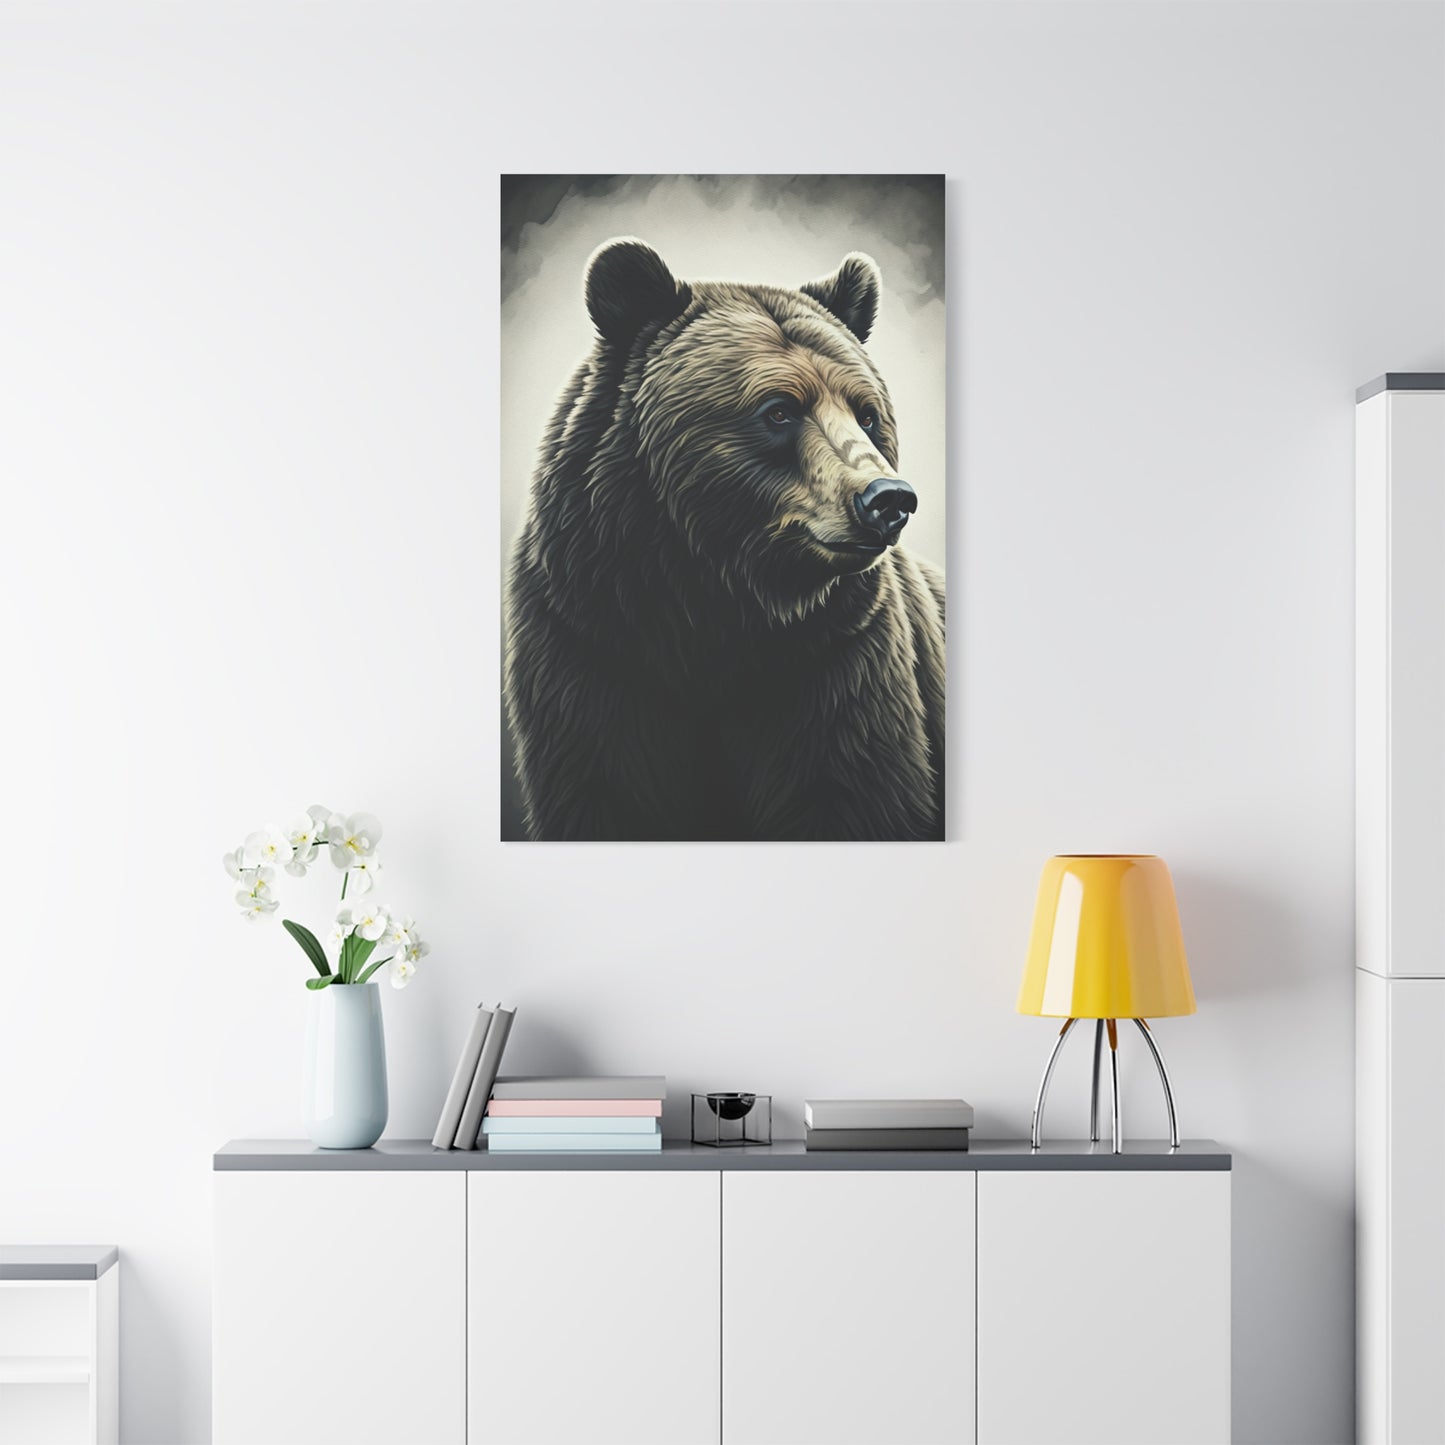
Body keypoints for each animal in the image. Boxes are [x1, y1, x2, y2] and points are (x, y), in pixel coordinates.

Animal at [504, 238, 945, 841]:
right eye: (779, 410)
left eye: (867, 413)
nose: (887, 499)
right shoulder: (592, 645)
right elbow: (608, 791)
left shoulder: (839, 662)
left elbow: (852, 793)